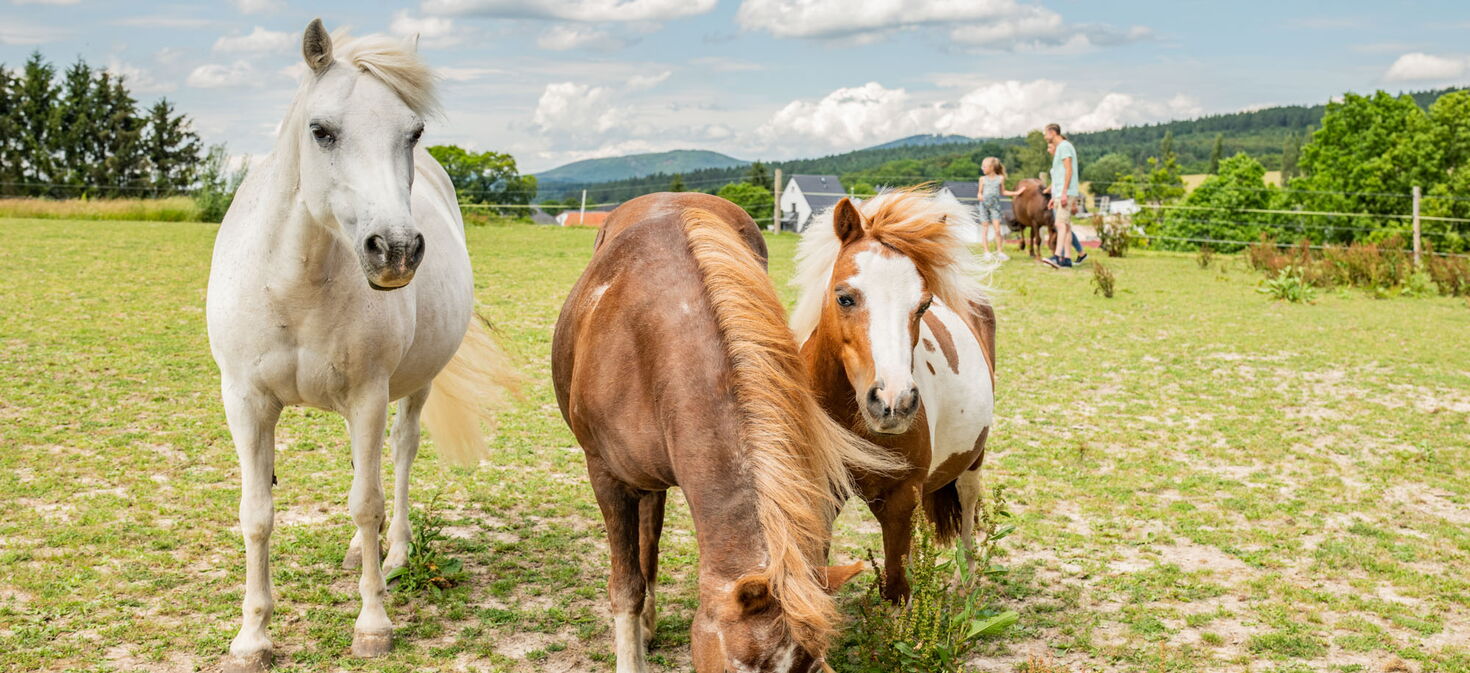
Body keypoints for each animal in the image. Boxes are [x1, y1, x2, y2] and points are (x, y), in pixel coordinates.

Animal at [205, 20, 515, 672]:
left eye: (413, 132)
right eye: (321, 131)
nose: (394, 249)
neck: (293, 285)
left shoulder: (369, 396)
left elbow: (367, 501)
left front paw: (373, 624)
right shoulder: (245, 402)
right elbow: (257, 514)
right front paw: (252, 636)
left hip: (412, 388)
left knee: (398, 457)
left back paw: (393, 552)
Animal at [789, 189, 997, 602]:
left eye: (923, 305)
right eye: (844, 298)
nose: (893, 403)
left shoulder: (902, 498)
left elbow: (897, 587)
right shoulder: (819, 491)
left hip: (972, 461)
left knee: (968, 514)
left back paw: (965, 583)